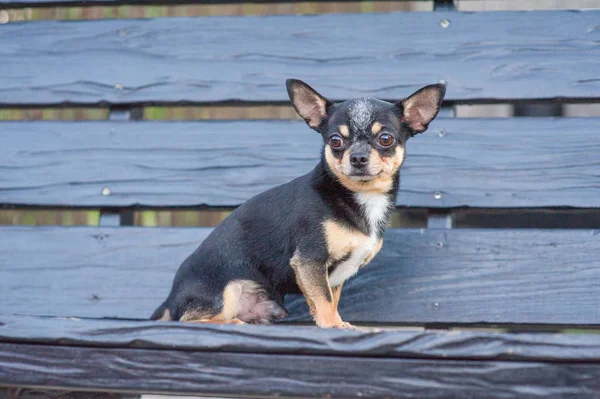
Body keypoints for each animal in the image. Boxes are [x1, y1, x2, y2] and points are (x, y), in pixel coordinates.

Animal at [151, 79, 446, 330]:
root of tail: (170, 298)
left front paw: (332, 320)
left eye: (386, 139)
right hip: (227, 290)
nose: (358, 157)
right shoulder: (309, 260)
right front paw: (333, 325)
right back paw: (230, 322)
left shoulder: (332, 273)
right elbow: (324, 298)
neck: (358, 196)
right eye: (335, 141)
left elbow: (329, 298)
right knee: (186, 319)